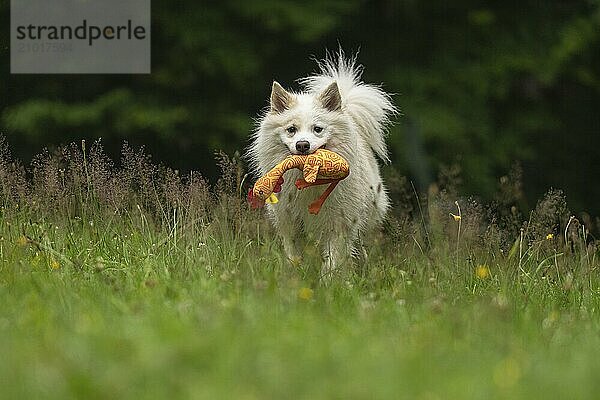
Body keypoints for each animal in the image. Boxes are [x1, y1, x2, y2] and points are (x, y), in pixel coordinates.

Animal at [246, 52, 396, 278]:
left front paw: (330, 280)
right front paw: (294, 276)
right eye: (291, 129)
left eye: (317, 129)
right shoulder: (289, 221)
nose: (302, 145)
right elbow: (294, 253)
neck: (306, 181)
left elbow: (334, 256)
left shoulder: (338, 222)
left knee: (362, 246)